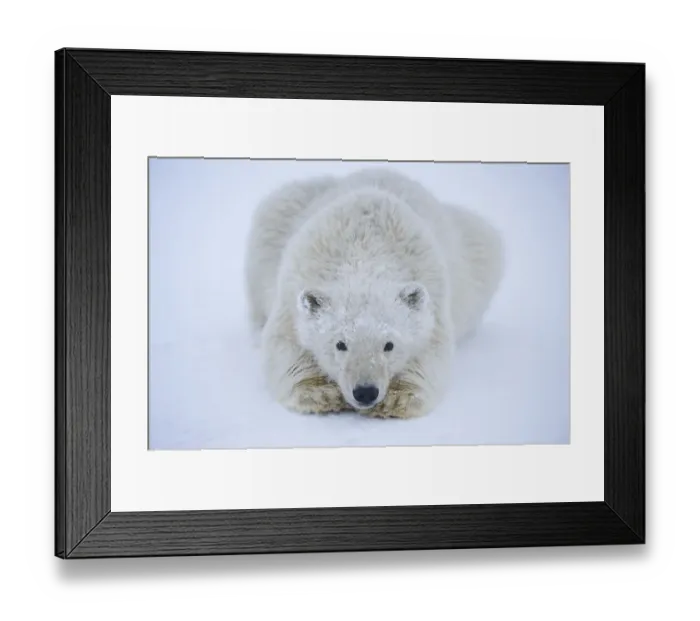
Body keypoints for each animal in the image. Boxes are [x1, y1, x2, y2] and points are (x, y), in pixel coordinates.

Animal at [244, 168, 503, 419]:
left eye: (389, 345)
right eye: (340, 344)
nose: (365, 392)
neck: (365, 248)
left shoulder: (432, 289)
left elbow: (429, 352)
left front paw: (398, 399)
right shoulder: (296, 284)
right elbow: (285, 344)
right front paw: (320, 394)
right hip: (278, 219)